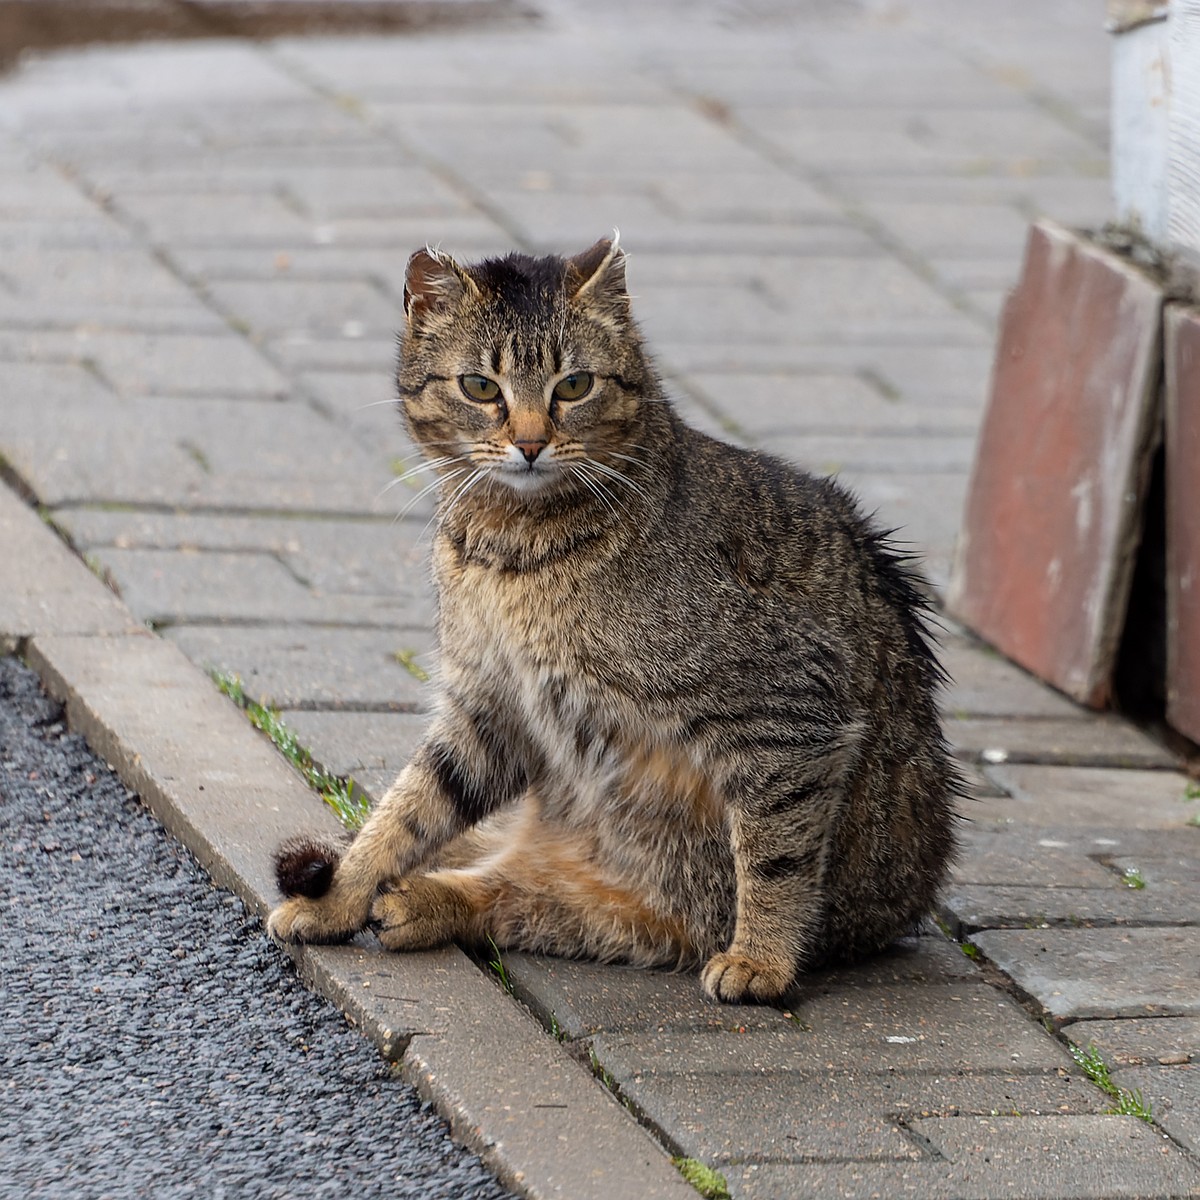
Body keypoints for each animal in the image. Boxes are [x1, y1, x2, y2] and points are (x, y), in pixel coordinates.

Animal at [267, 234, 960, 1003]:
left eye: (574, 386)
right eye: (481, 387)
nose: (530, 443)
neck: (509, 548)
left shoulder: (789, 710)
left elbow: (776, 857)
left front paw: (764, 959)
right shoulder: (490, 707)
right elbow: (406, 810)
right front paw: (342, 895)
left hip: (660, 907)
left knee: (530, 899)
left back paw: (422, 902)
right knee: (500, 884)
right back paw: (412, 899)